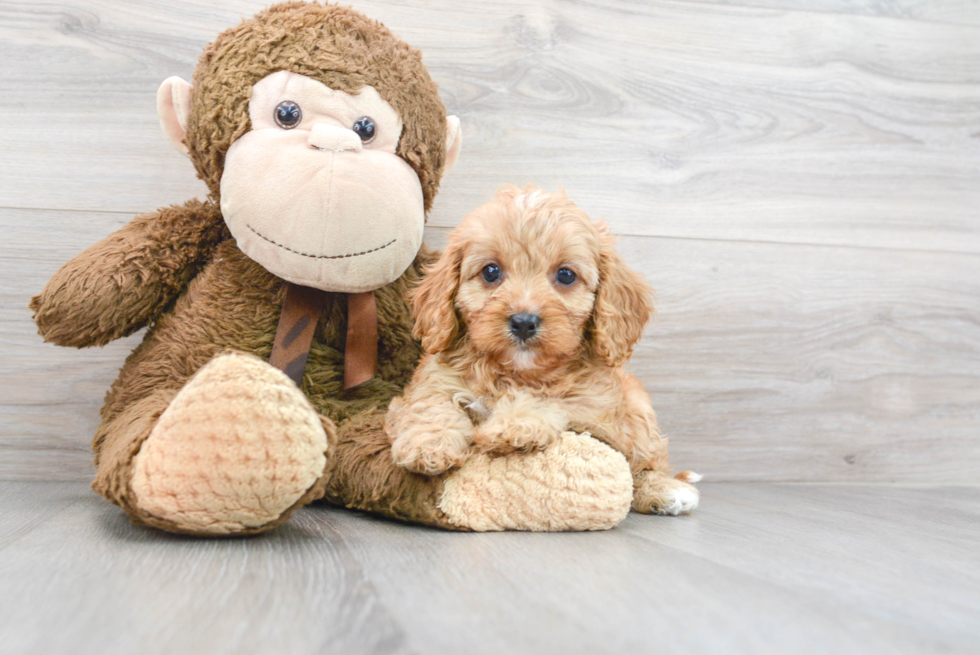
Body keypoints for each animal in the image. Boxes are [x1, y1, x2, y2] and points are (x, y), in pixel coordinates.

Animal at [386, 182, 700, 516]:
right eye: (490, 272)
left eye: (566, 275)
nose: (523, 322)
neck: (515, 372)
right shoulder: (435, 379)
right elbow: (430, 405)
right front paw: (428, 444)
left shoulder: (592, 411)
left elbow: (548, 400)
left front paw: (513, 426)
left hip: (639, 411)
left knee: (644, 465)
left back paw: (668, 490)